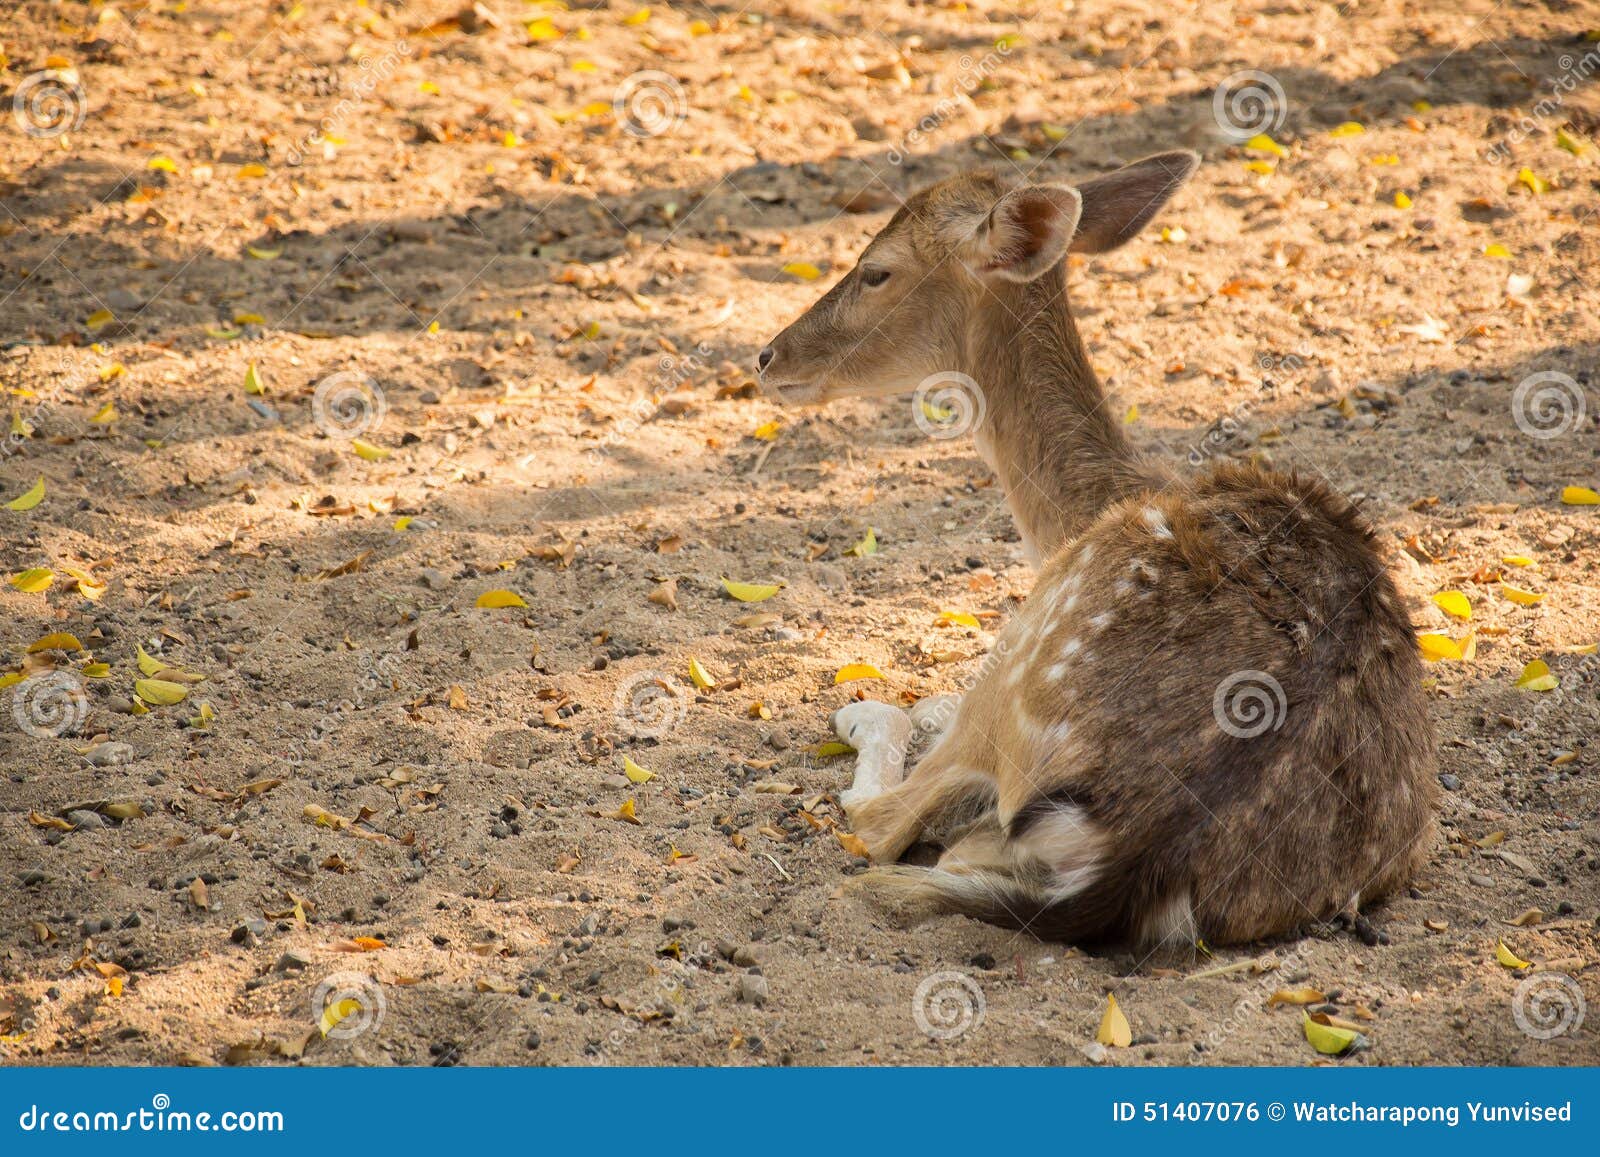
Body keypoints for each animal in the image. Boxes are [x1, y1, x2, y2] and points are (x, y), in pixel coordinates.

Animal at [755, 152, 1437, 951]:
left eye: (876, 270)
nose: (767, 355)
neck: (1089, 507)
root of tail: (1139, 855)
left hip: (1029, 655)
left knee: (880, 822)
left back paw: (871, 717)